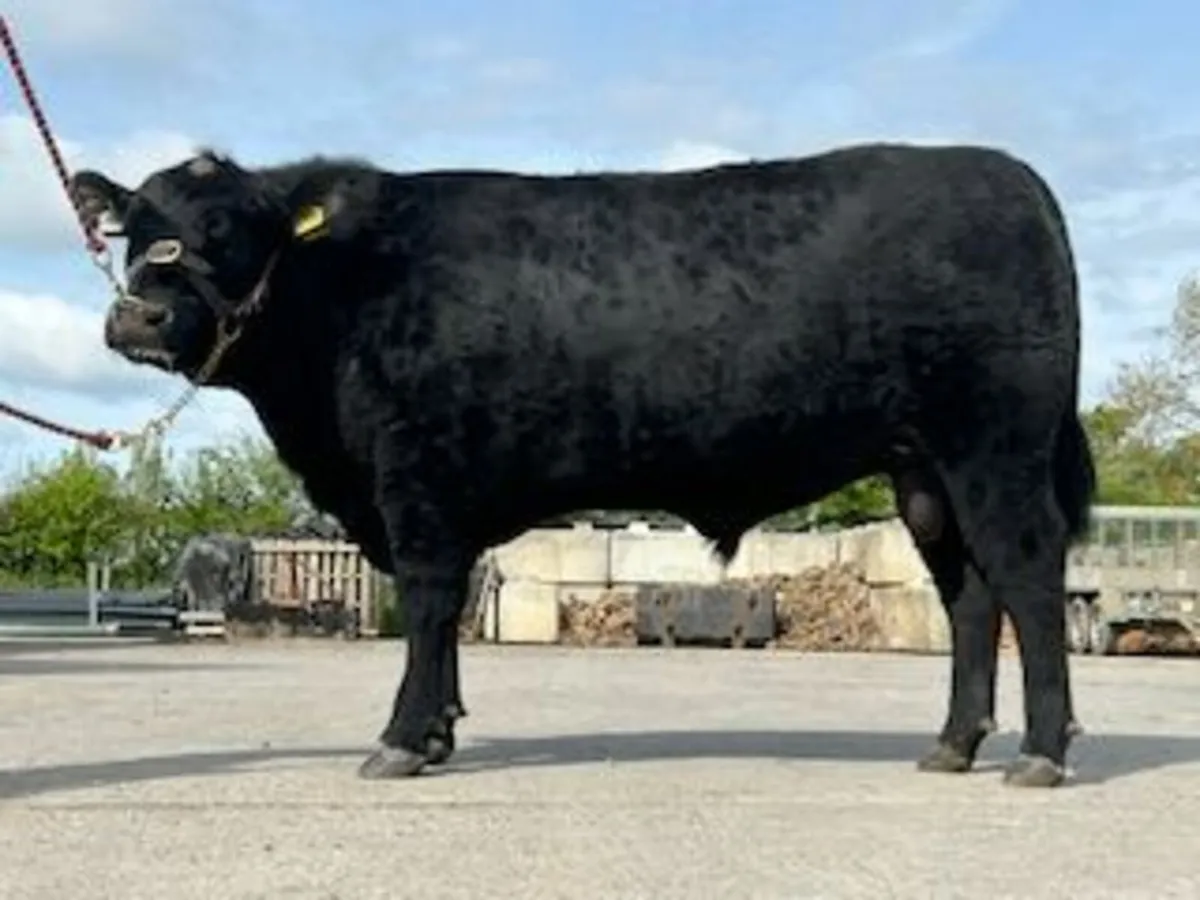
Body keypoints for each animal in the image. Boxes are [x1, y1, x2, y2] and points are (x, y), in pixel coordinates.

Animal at [69, 140, 1095, 788]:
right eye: (133, 229)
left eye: (230, 229)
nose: (137, 317)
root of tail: (1011, 176)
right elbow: (444, 622)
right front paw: (439, 732)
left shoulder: (418, 485)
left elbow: (430, 607)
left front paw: (401, 740)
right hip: (924, 474)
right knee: (970, 597)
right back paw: (955, 745)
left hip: (995, 451)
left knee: (1028, 580)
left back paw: (1042, 752)